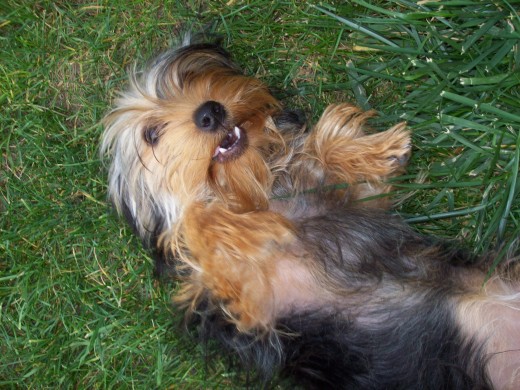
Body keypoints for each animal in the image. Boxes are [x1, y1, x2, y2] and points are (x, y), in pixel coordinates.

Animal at [101, 37, 520, 390]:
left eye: (191, 78)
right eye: (151, 134)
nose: (209, 112)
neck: (257, 194)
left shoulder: (357, 201)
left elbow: (331, 159)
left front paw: (372, 149)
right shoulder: (252, 303)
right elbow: (196, 223)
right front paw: (227, 225)